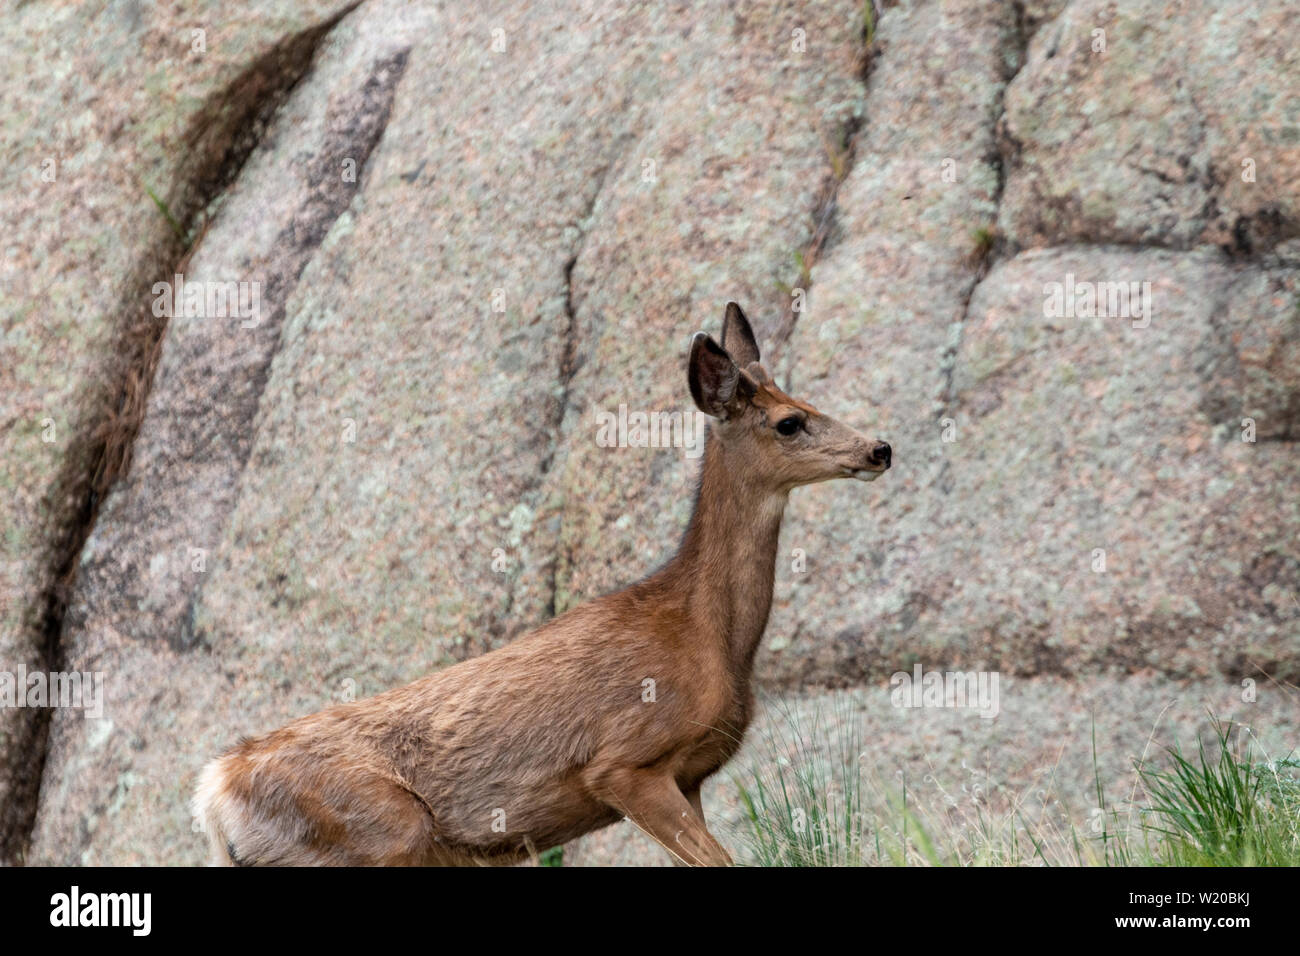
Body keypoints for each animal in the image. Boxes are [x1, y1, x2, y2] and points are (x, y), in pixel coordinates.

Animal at [193, 302, 891, 866]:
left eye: (809, 401)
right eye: (789, 422)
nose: (880, 447)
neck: (707, 632)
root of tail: (215, 792)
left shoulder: (691, 777)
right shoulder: (623, 763)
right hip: (380, 833)